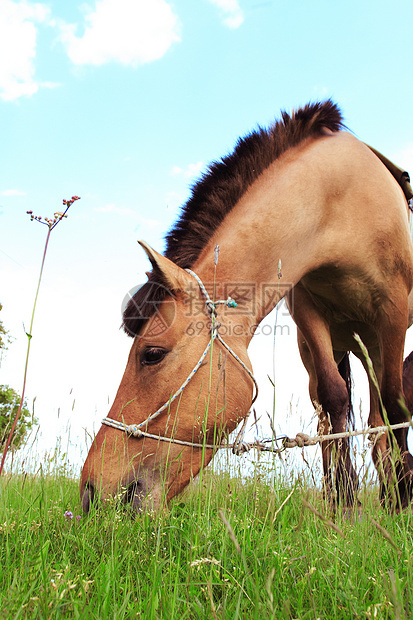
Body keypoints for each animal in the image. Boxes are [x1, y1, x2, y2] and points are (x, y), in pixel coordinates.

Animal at [80, 101, 412, 512]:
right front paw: (344, 501)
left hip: (376, 343)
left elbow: (396, 408)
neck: (341, 198)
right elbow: (334, 398)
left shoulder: (392, 311)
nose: (91, 492)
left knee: (382, 416)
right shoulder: (308, 312)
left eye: (152, 354)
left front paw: (401, 496)